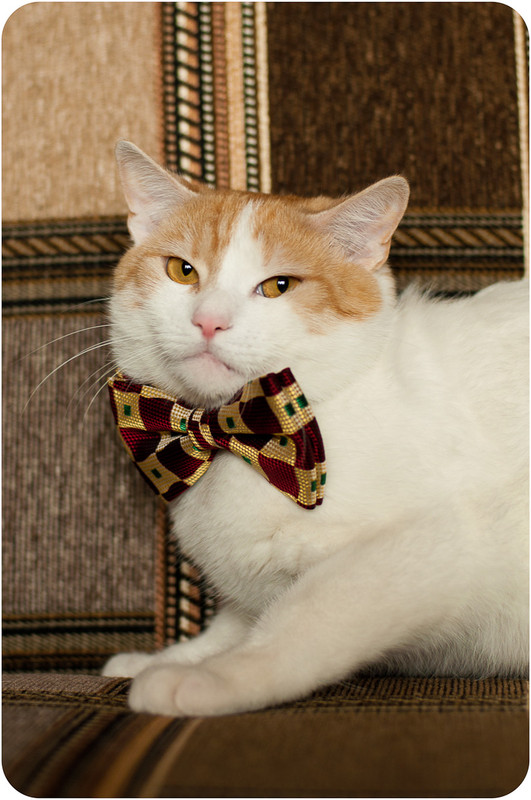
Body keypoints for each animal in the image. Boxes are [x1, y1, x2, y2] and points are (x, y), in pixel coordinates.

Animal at [102, 140, 529, 717]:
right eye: (182, 271)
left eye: (278, 286)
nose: (209, 320)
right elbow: (237, 622)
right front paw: (178, 657)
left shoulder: (425, 546)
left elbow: (300, 622)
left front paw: (217, 676)